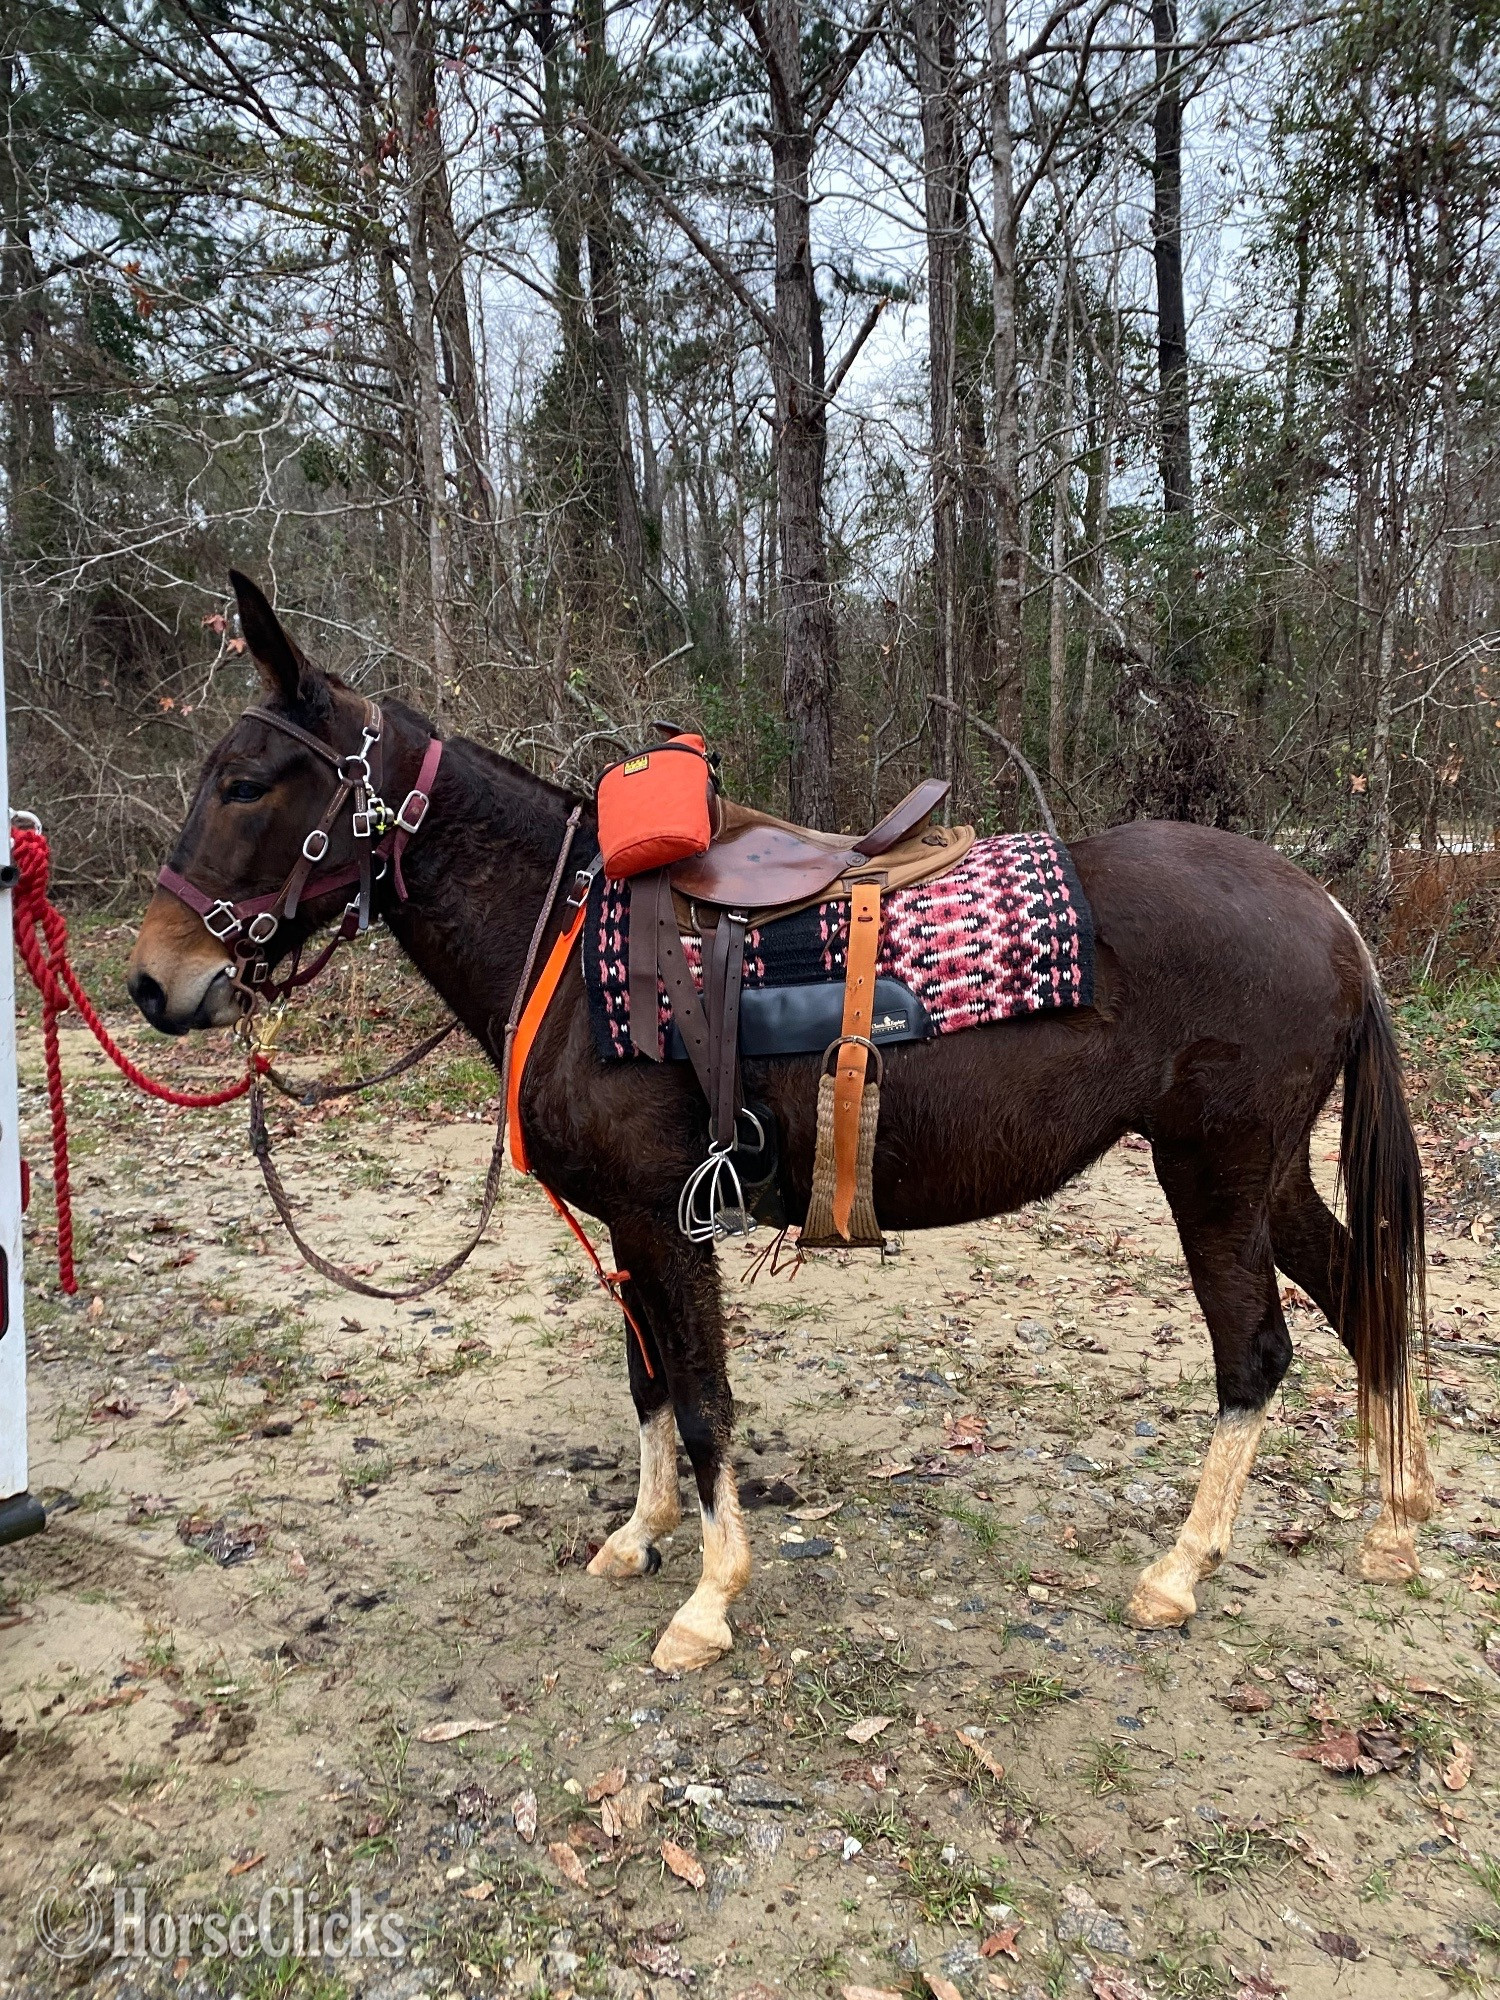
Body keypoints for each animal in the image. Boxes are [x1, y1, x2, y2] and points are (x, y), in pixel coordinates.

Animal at [126, 572, 1434, 1672]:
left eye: (246, 783)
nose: (153, 981)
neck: (567, 940)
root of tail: (1327, 912)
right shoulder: (629, 1227)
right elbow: (649, 1381)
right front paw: (639, 1534)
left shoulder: (666, 1218)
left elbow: (704, 1397)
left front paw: (709, 1597)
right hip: (1266, 1173)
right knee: (1359, 1290)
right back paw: (1397, 1522)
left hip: (1214, 1170)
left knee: (1256, 1350)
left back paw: (1180, 1569)